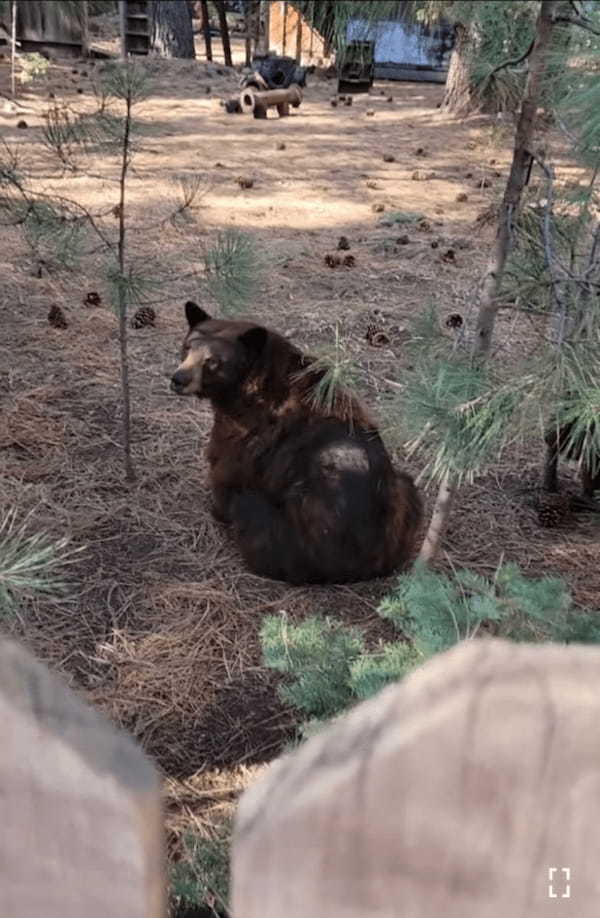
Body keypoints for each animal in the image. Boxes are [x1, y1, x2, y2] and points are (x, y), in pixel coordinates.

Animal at [170, 306, 422, 584]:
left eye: (213, 362)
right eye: (186, 347)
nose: (178, 378)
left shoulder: (241, 434)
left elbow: (224, 472)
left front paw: (215, 505)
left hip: (280, 532)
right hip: (404, 492)